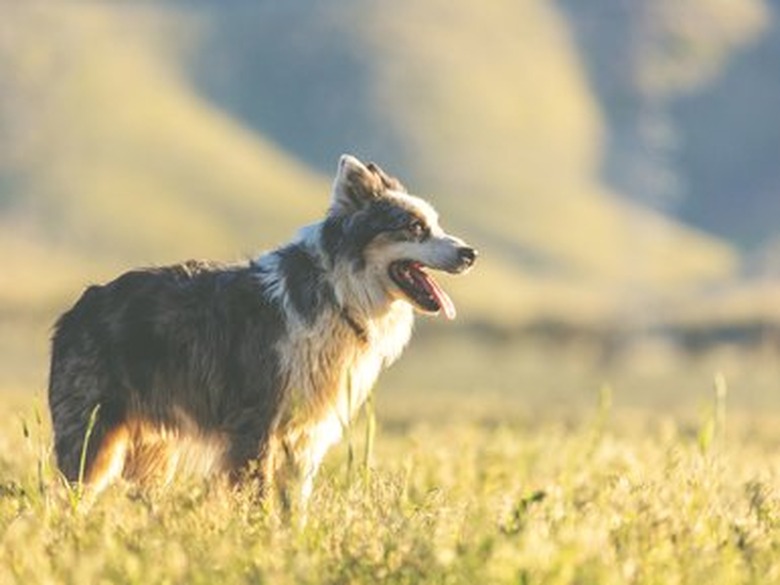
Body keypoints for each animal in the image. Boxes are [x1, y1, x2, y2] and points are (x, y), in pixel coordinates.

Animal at [50, 155, 476, 506]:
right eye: (414, 227)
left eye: (436, 224)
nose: (470, 254)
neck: (337, 293)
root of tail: (79, 306)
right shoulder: (256, 425)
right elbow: (259, 500)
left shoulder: (305, 437)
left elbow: (293, 508)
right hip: (90, 437)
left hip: (153, 448)